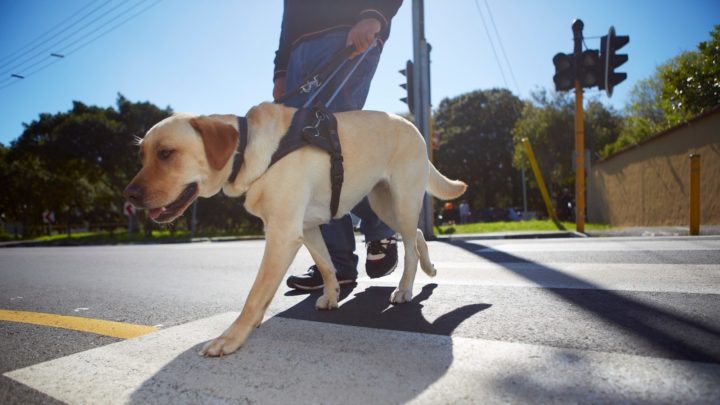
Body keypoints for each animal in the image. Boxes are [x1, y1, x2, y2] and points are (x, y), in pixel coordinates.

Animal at [125, 102, 466, 356]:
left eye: (166, 153)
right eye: (141, 155)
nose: (129, 195)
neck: (247, 150)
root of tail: (413, 126)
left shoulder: (281, 234)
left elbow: (255, 294)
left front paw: (231, 337)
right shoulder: (307, 228)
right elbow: (326, 266)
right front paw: (331, 295)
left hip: (402, 200)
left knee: (409, 246)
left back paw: (405, 288)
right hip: (383, 202)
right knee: (417, 235)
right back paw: (430, 268)